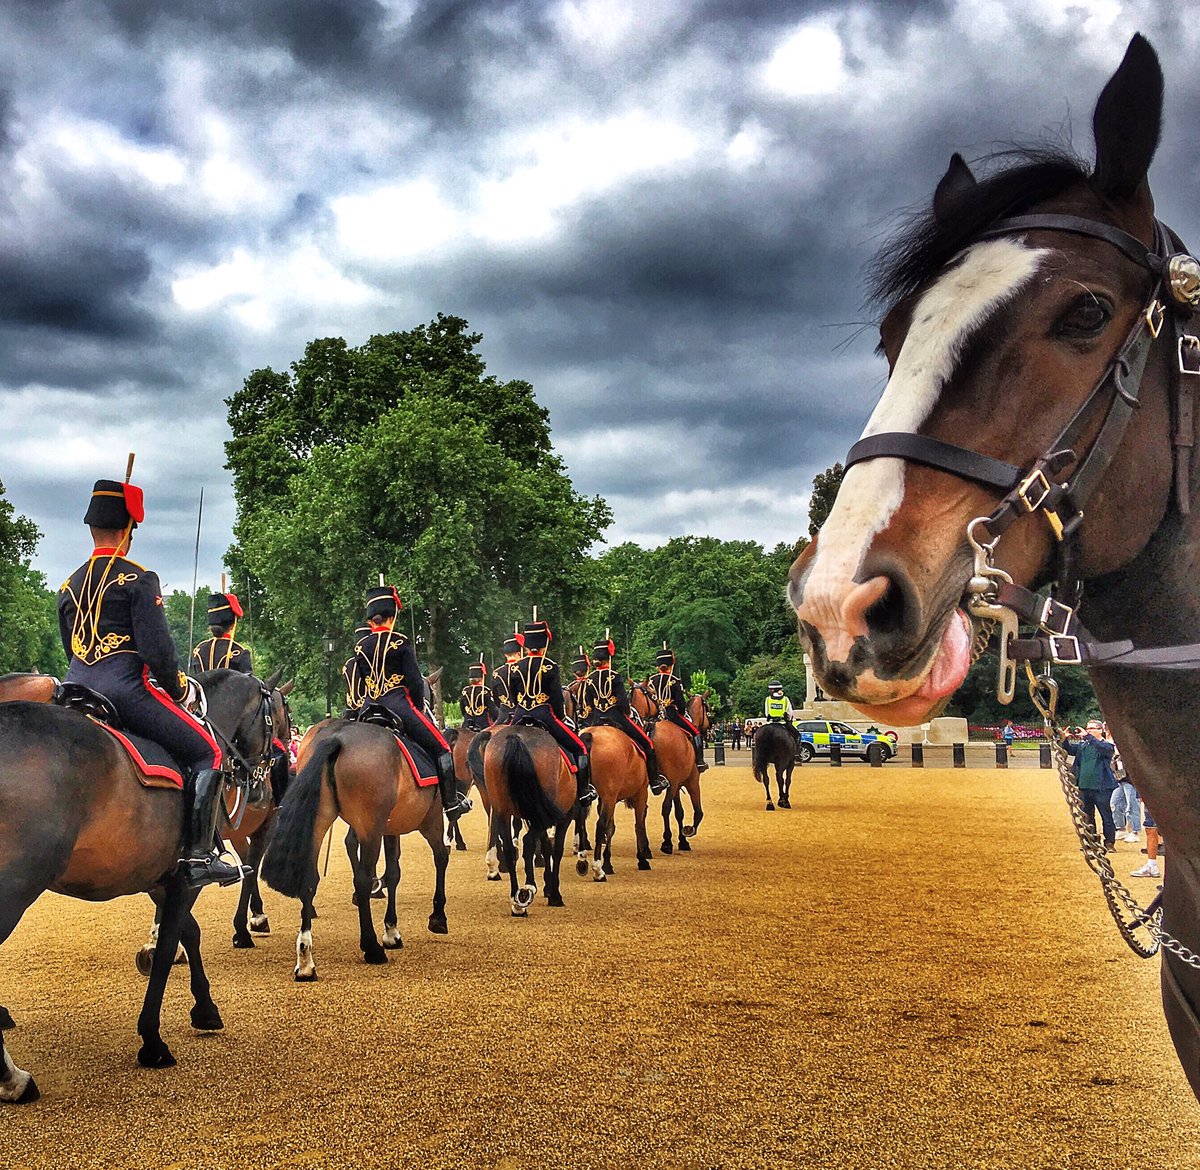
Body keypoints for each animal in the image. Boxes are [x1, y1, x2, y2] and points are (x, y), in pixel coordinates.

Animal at [1, 667, 276, 1108]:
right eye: (275, 718)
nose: (265, 789)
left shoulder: (160, 878)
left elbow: (188, 934)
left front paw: (205, 1008)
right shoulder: (184, 880)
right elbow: (168, 949)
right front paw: (153, 1039)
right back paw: (13, 1078)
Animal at [261, 724, 451, 979]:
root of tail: (337, 738)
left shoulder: (390, 827)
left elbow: (393, 873)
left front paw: (392, 931)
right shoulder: (430, 819)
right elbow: (439, 857)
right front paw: (437, 917)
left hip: (320, 821)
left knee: (310, 881)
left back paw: (305, 958)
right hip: (371, 827)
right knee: (362, 880)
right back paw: (371, 948)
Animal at [477, 729, 576, 921]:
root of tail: (515, 737)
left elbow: (546, 846)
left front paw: (548, 886)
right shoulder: (564, 816)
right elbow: (556, 850)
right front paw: (554, 894)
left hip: (503, 810)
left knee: (509, 848)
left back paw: (516, 901)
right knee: (528, 841)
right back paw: (527, 890)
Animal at [576, 729, 652, 883]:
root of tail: (590, 735)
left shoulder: (607, 799)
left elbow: (611, 828)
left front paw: (608, 863)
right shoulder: (641, 793)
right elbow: (639, 826)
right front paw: (642, 860)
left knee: (581, 822)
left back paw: (582, 860)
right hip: (610, 796)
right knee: (600, 825)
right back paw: (598, 871)